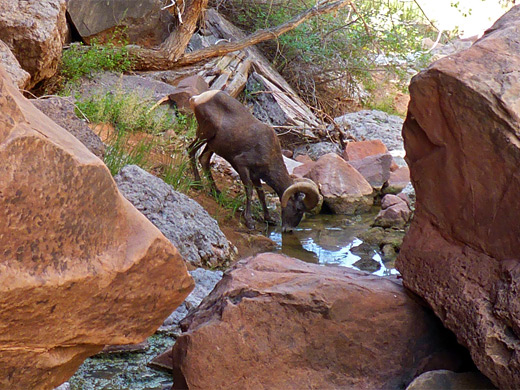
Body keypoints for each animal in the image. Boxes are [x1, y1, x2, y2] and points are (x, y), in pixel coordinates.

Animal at [189, 90, 320, 232]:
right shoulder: (242, 165)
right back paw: (198, 184)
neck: (268, 152)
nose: (288, 229)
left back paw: (216, 192)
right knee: (190, 150)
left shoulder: (256, 175)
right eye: (298, 209)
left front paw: (269, 219)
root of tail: (197, 99)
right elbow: (249, 190)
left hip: (211, 144)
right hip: (204, 134)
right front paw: (249, 221)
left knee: (204, 159)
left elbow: (261, 194)